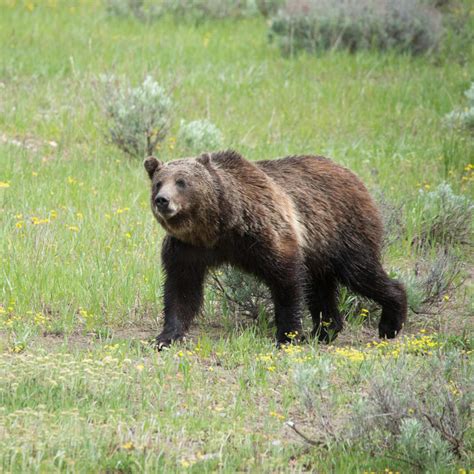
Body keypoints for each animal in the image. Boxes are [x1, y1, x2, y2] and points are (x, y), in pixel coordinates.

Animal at [144, 152, 408, 348]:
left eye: (182, 181)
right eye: (158, 182)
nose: (162, 200)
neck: (217, 226)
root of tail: (353, 175)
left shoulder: (264, 231)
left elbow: (285, 280)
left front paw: (287, 336)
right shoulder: (187, 249)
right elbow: (182, 289)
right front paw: (166, 337)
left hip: (344, 232)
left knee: (362, 273)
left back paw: (390, 322)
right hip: (319, 251)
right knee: (321, 288)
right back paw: (324, 331)